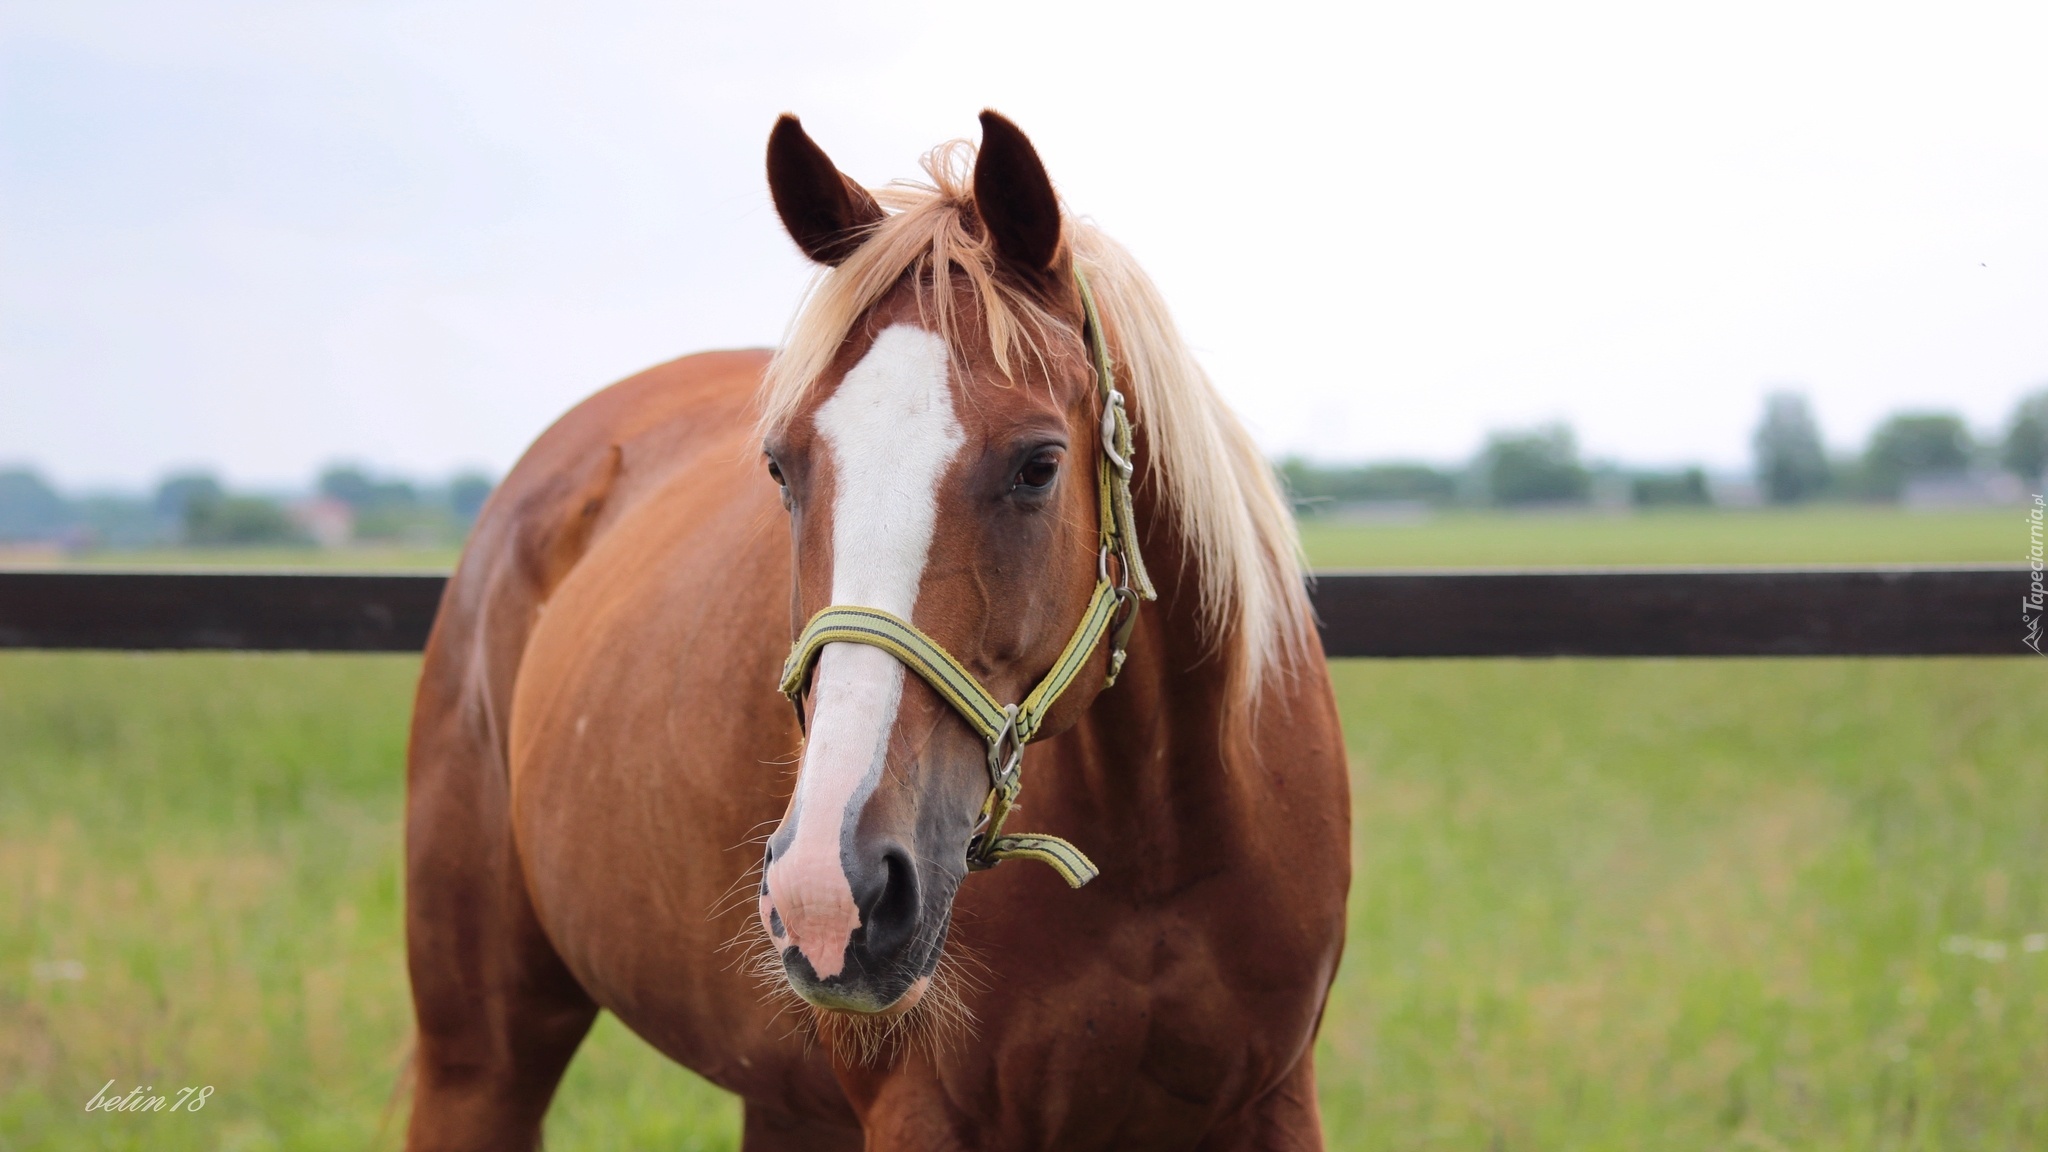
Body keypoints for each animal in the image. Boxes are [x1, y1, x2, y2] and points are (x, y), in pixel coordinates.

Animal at [405, 109, 1351, 1147]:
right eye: (780, 468)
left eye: (1038, 465)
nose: (829, 888)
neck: (1159, 843)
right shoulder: (922, 1111)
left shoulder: (1273, 1099)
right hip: (480, 1055)